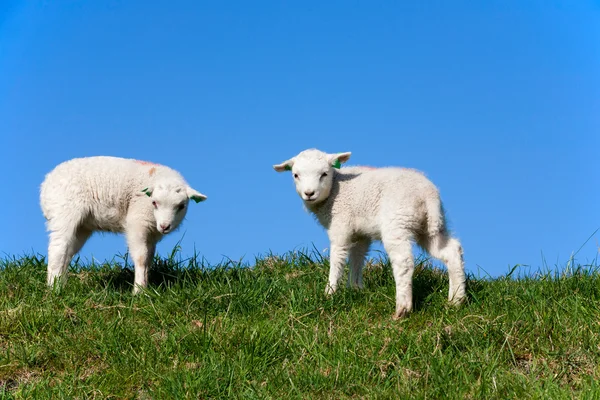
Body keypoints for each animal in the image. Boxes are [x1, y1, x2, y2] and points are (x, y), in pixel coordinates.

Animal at [39, 156, 207, 294]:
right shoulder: (137, 222)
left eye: (181, 206)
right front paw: (138, 292)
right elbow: (141, 257)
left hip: (82, 226)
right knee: (57, 249)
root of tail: (46, 184)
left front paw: (145, 285)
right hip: (64, 211)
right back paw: (54, 289)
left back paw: (62, 285)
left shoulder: (152, 233)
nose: (165, 226)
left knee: (67, 253)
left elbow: (149, 258)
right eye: (154, 202)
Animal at [274, 148, 466, 320]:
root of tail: (429, 195)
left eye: (324, 174)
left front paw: (330, 292)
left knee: (403, 262)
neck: (336, 187)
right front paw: (355, 288)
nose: (309, 193)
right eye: (295, 175)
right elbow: (357, 258)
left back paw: (402, 309)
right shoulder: (360, 233)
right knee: (451, 250)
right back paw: (456, 299)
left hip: (397, 222)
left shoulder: (341, 225)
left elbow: (338, 257)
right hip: (429, 226)